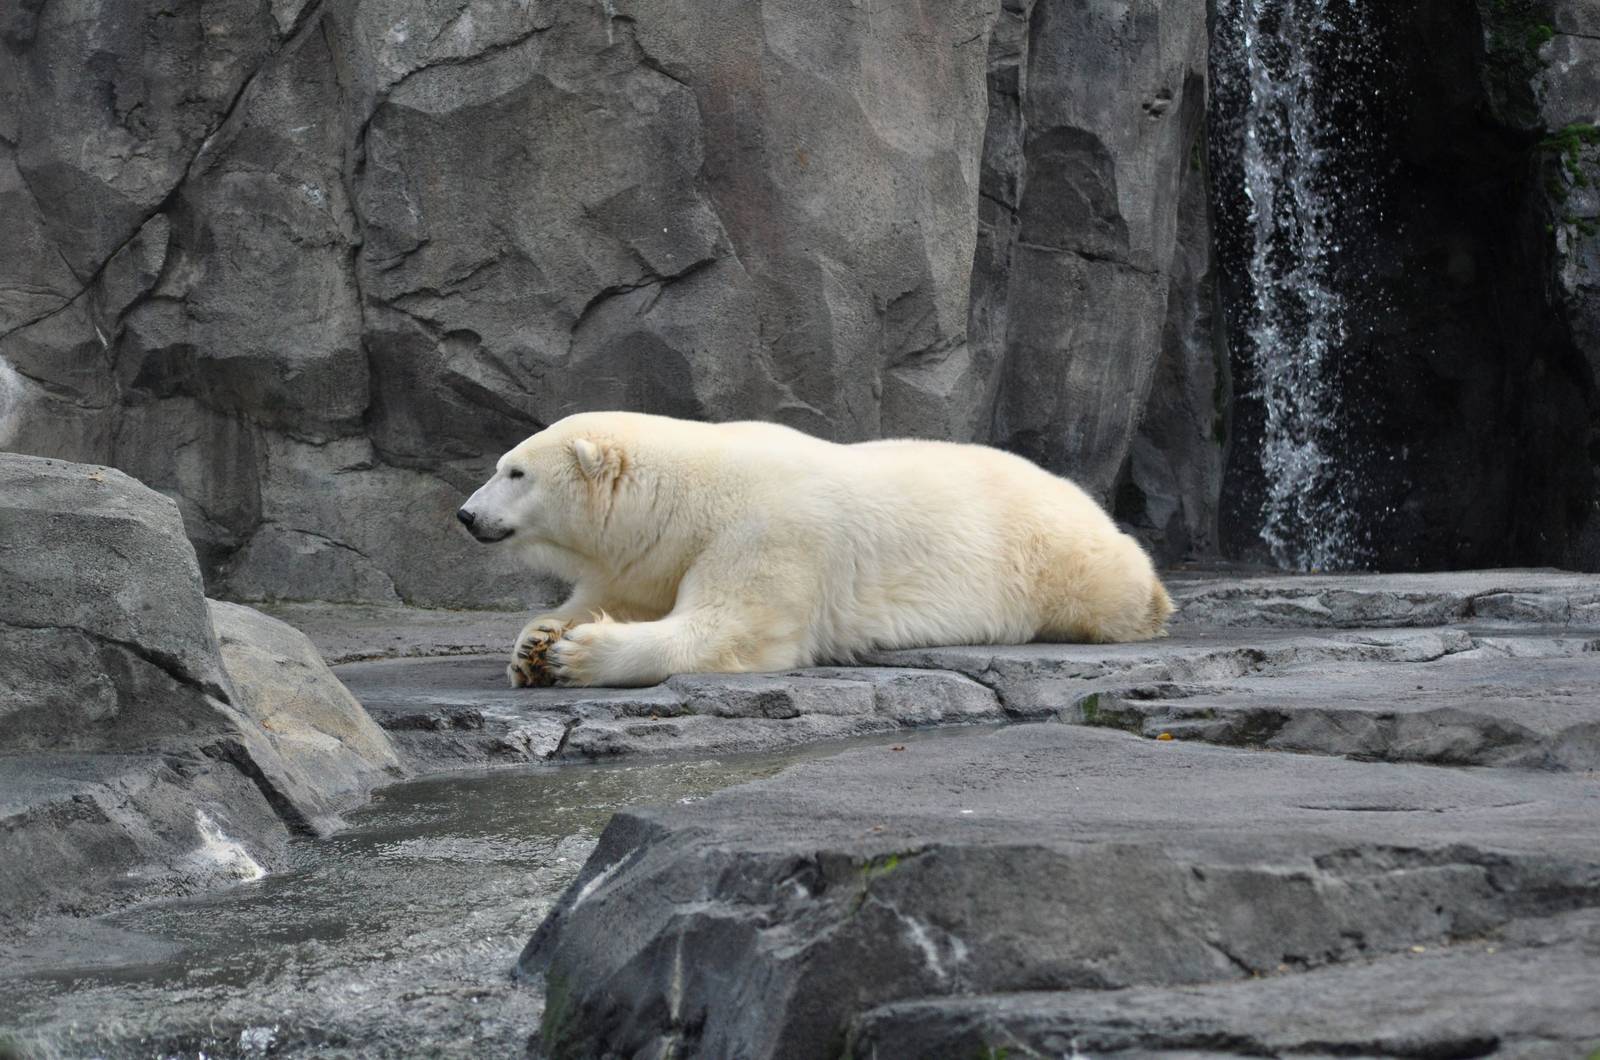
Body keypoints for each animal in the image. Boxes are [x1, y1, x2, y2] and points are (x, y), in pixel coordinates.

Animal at [456, 411, 1173, 688]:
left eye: (515, 472)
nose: (466, 515)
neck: (692, 494)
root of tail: (1080, 496)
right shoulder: (655, 555)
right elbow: (621, 594)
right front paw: (534, 643)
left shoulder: (767, 533)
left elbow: (730, 629)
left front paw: (578, 654)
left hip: (1057, 558)